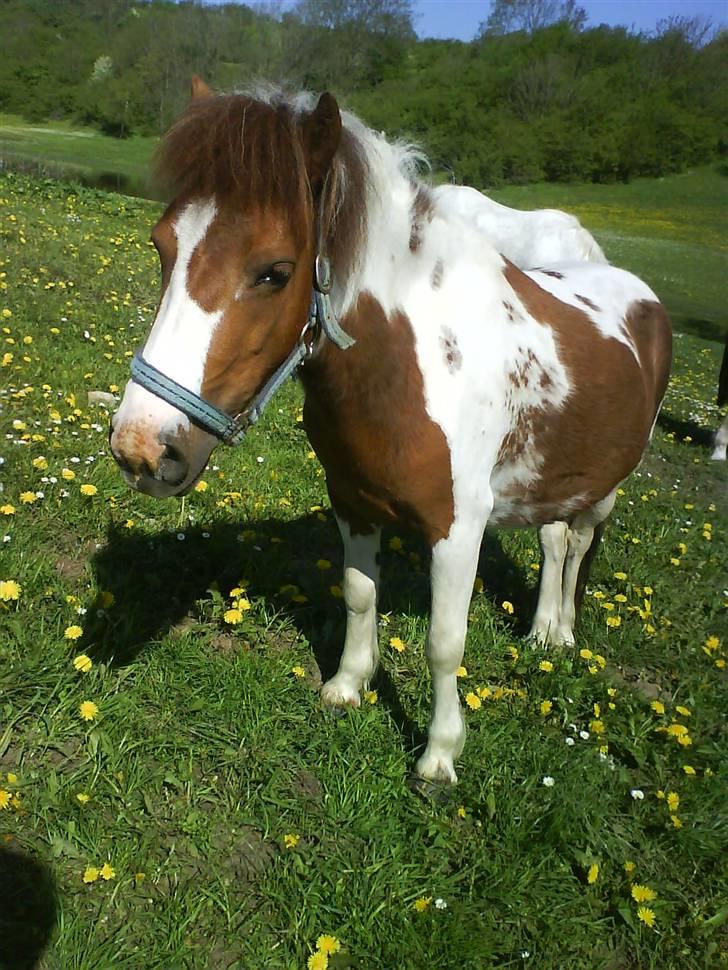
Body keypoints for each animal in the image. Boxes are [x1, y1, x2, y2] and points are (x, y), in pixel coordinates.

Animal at [108, 79, 672, 784]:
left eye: (274, 272)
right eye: (162, 246)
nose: (140, 448)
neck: (410, 363)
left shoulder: (458, 527)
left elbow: (444, 642)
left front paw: (439, 754)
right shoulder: (353, 501)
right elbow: (357, 594)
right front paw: (348, 685)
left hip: (605, 488)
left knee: (577, 545)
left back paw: (563, 633)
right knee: (553, 538)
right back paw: (543, 631)